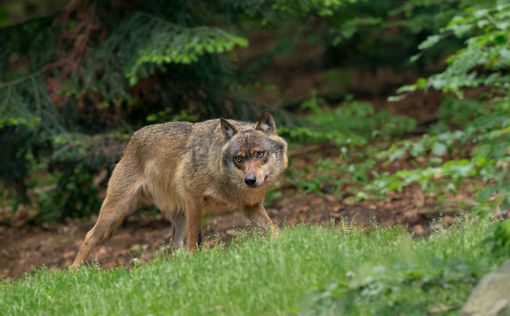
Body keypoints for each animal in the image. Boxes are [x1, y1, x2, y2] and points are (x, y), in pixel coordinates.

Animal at [71, 111, 286, 266]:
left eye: (260, 154)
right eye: (239, 159)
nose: (250, 180)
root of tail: (132, 139)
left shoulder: (250, 207)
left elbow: (274, 229)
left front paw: (284, 243)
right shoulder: (193, 200)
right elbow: (194, 241)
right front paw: (195, 262)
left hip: (177, 217)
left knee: (173, 248)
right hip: (115, 211)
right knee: (89, 236)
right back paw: (73, 272)